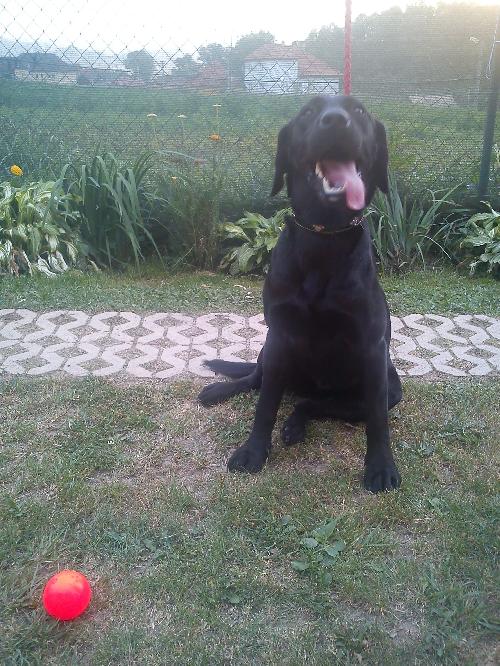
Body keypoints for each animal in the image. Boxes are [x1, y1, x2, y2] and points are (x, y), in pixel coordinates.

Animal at [199, 95, 402, 493]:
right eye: (308, 112)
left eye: (359, 112)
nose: (335, 121)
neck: (324, 238)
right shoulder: (279, 335)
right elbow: (264, 405)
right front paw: (253, 451)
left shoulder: (372, 349)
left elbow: (377, 421)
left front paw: (381, 466)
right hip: (269, 351)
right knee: (257, 380)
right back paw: (219, 391)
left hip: (387, 389)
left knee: (312, 404)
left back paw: (295, 424)